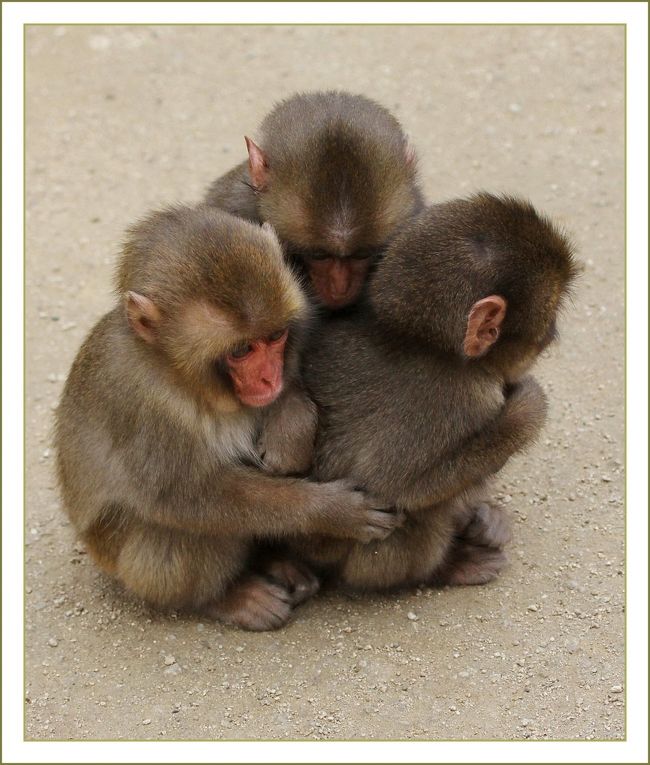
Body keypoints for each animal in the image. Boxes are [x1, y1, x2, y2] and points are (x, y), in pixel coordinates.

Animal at [55, 206, 400, 628]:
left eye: (275, 337)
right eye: (240, 351)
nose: (270, 378)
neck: (181, 375)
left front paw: (289, 426)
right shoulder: (141, 406)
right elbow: (187, 498)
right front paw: (332, 511)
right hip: (134, 566)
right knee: (183, 530)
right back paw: (225, 598)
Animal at [284, 194, 576, 588]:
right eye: (550, 316)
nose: (554, 333)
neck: (427, 346)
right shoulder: (465, 398)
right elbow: (401, 487)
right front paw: (528, 411)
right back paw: (449, 565)